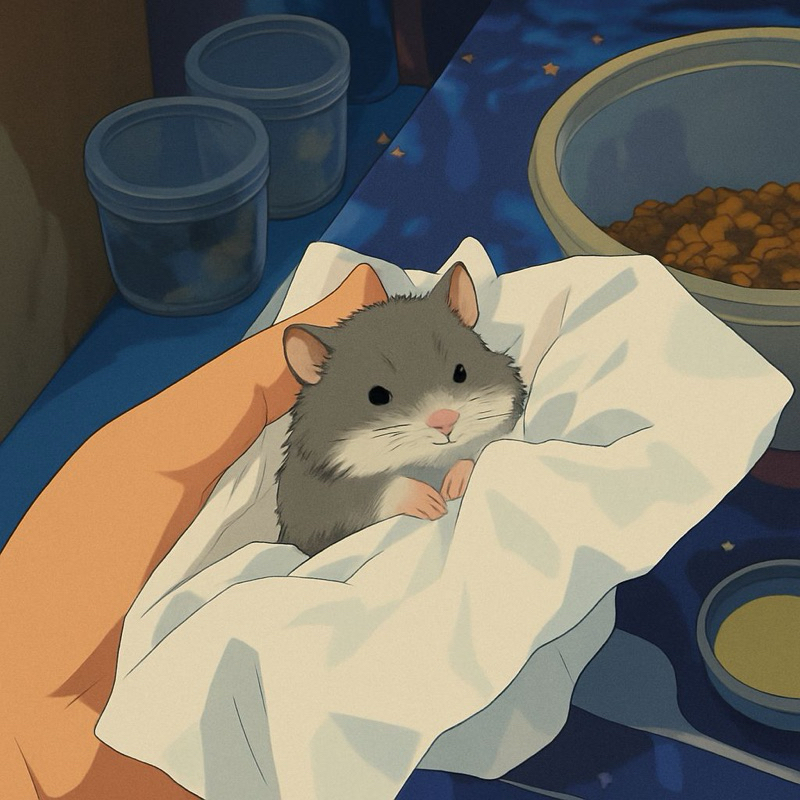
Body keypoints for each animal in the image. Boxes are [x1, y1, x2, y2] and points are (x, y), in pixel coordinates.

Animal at [276, 261, 527, 556]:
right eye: (377, 395)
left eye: (461, 371)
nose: (445, 422)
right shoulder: (311, 510)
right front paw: (433, 503)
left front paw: (454, 485)